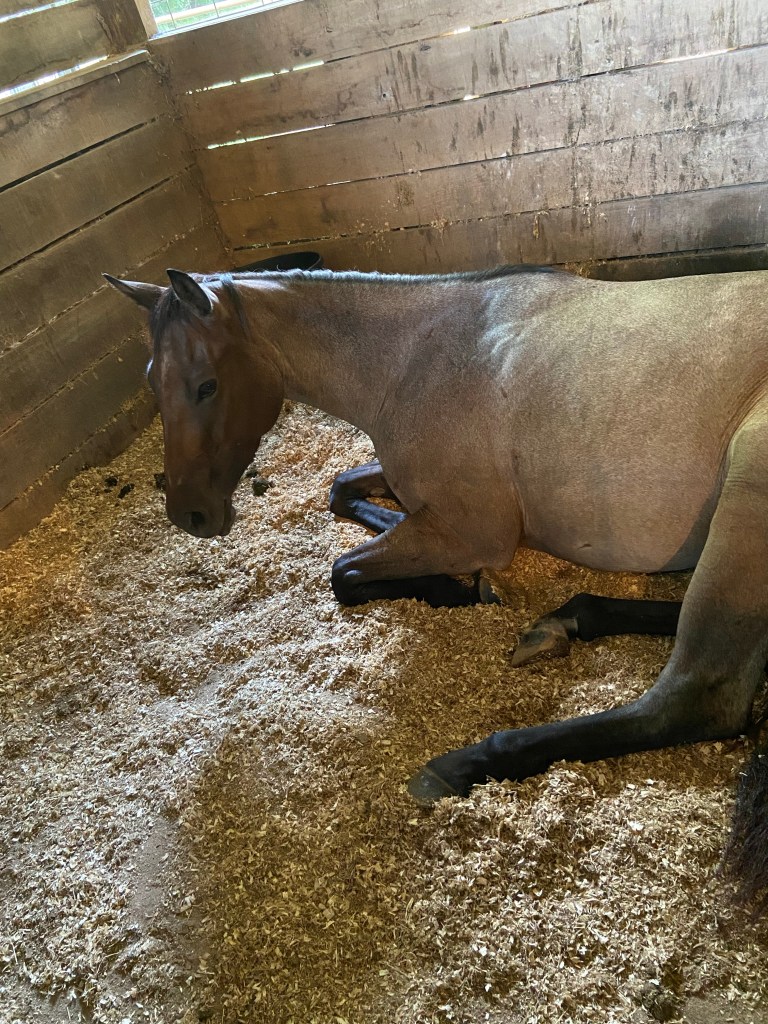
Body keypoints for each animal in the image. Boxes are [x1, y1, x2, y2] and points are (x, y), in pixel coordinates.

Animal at [105, 264, 768, 910]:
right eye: (152, 381)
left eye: (206, 385)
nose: (189, 514)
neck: (417, 359)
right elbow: (342, 489)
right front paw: (451, 573)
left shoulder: (473, 531)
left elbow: (344, 572)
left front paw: (458, 589)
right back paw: (566, 622)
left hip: (742, 510)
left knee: (698, 696)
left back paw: (470, 760)